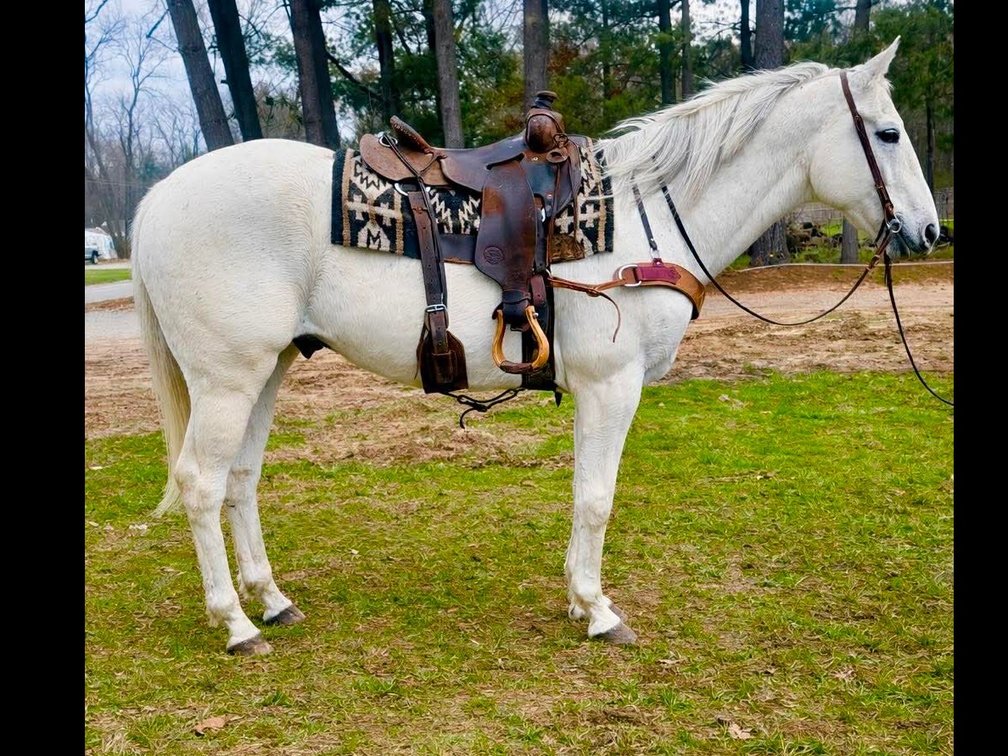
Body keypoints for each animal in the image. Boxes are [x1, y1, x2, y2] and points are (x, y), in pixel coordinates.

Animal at [131, 39, 939, 655]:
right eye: (889, 134)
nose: (931, 231)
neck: (646, 216)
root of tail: (160, 197)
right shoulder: (612, 386)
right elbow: (597, 498)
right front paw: (598, 610)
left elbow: (586, 495)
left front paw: (581, 601)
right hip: (227, 381)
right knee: (201, 484)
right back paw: (235, 624)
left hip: (264, 372)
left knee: (239, 481)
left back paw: (270, 600)